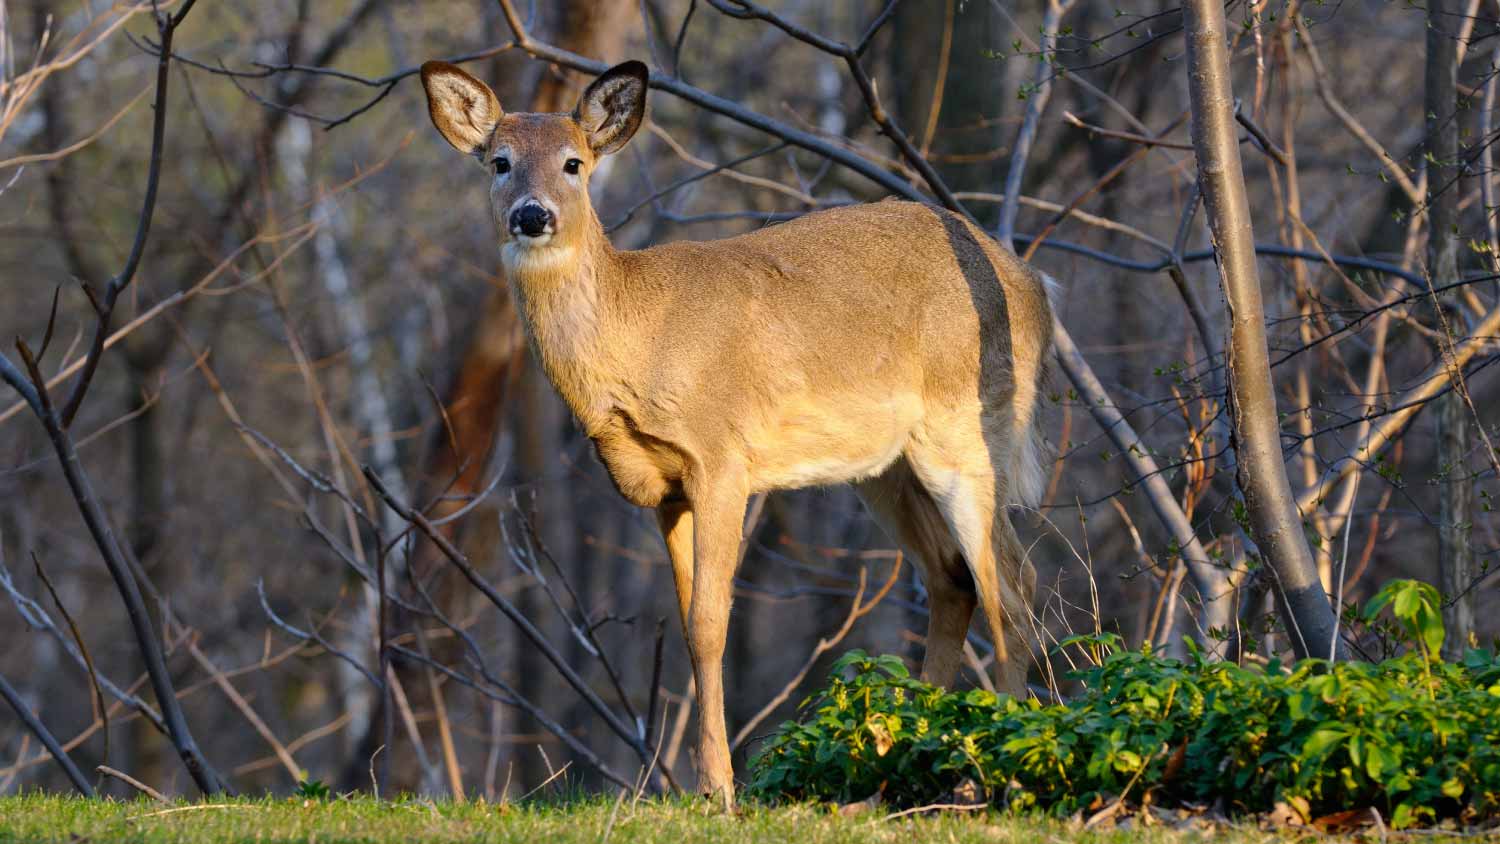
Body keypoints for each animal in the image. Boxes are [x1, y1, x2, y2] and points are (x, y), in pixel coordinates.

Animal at [419, 58, 1054, 807]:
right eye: (500, 162)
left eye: (574, 163)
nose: (531, 214)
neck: (636, 337)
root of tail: (1034, 286)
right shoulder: (666, 488)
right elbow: (688, 620)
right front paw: (709, 783)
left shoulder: (723, 459)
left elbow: (709, 622)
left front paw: (719, 789)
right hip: (884, 469)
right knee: (954, 579)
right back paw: (911, 765)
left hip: (968, 428)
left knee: (1012, 587)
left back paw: (995, 772)